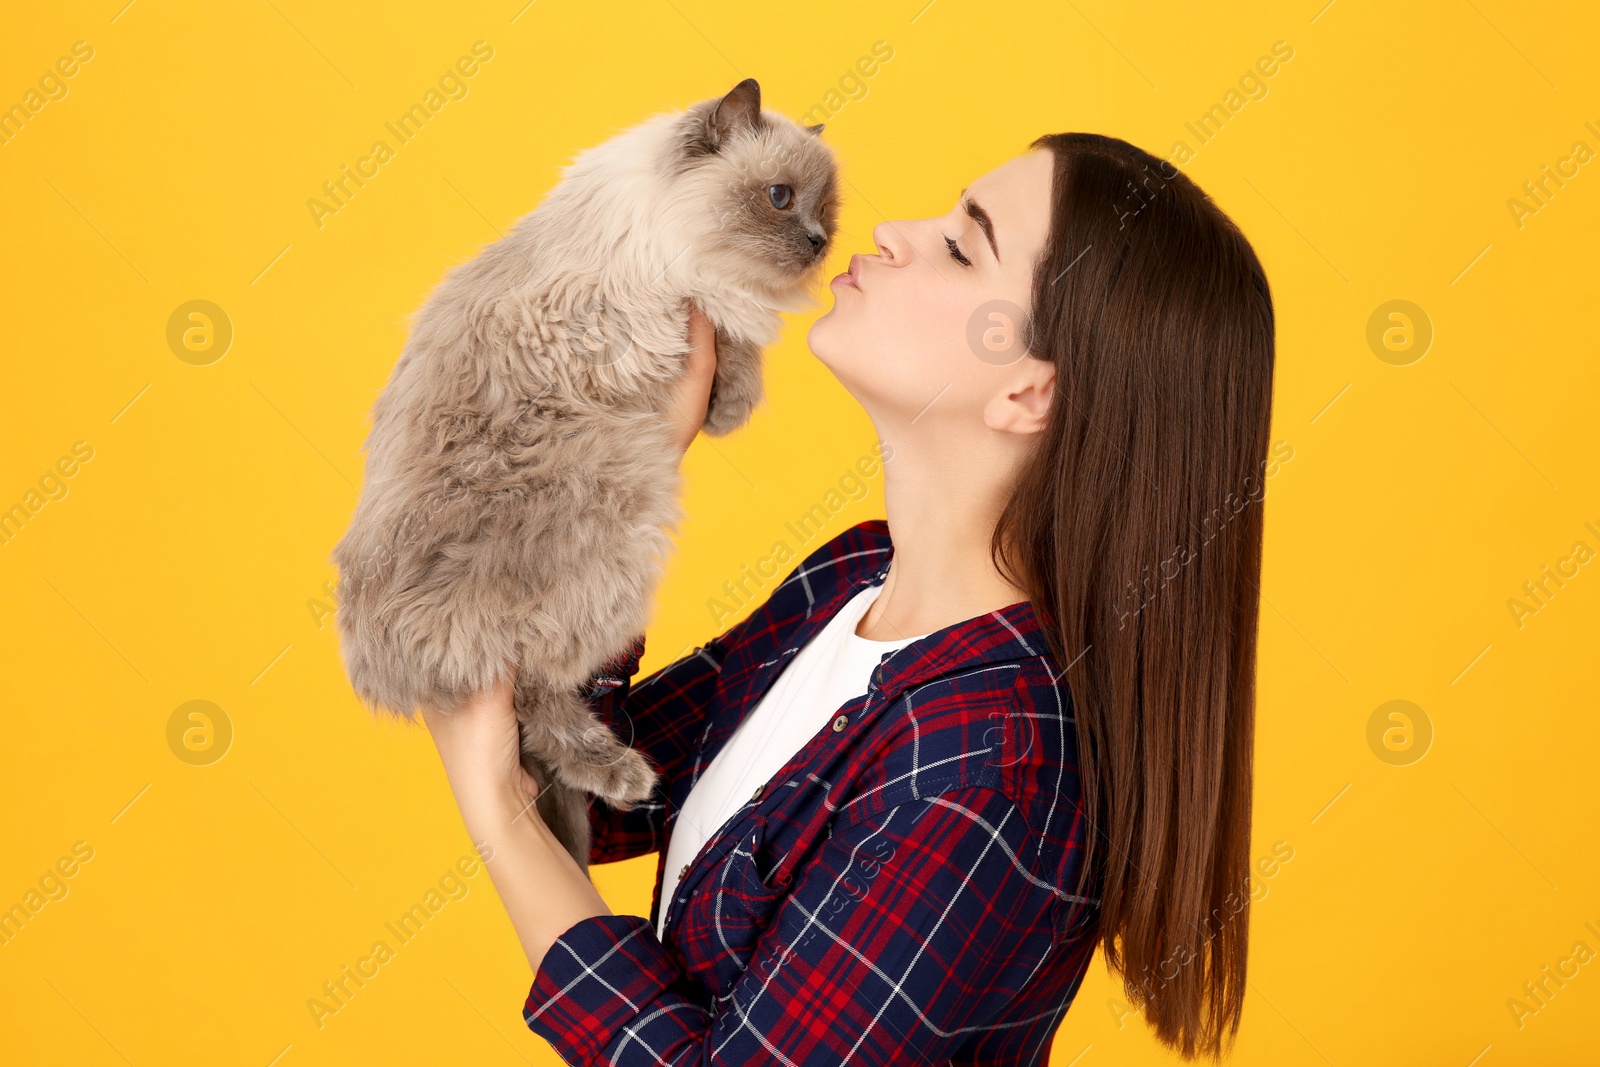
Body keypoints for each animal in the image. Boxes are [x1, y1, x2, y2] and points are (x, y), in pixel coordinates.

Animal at [332, 79, 844, 870]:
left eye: (827, 208)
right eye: (780, 198)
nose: (820, 242)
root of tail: (386, 662)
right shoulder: (648, 320)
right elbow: (730, 335)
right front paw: (736, 396)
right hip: (620, 519)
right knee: (536, 693)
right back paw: (623, 774)